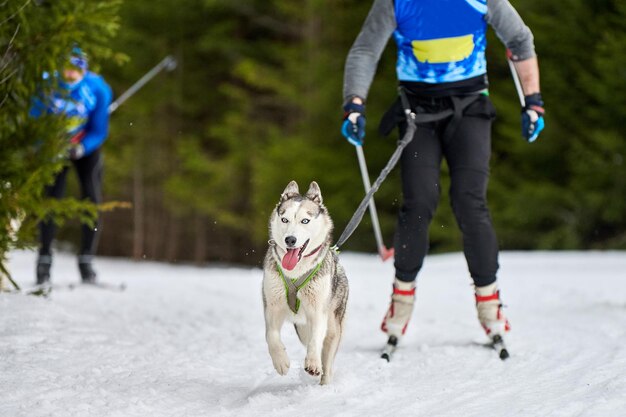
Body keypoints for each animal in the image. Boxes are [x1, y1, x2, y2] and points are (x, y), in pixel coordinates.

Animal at [260, 179, 346, 384]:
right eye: (284, 219)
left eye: (305, 221)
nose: (290, 240)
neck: (295, 271)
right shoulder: (272, 306)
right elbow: (271, 335)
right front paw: (281, 361)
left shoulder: (318, 310)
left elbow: (316, 340)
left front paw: (313, 363)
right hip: (301, 328)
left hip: (333, 327)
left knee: (327, 360)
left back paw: (324, 381)